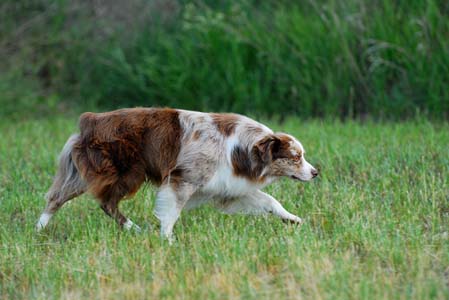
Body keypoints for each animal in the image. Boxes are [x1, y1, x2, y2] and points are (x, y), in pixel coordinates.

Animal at [36, 106, 318, 240]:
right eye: (296, 157)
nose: (316, 172)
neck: (239, 148)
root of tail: (89, 120)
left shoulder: (229, 188)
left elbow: (270, 201)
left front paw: (292, 219)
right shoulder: (183, 180)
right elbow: (171, 214)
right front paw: (168, 241)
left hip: (90, 173)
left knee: (61, 198)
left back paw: (38, 230)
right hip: (124, 173)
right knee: (102, 203)